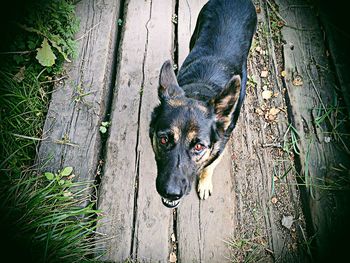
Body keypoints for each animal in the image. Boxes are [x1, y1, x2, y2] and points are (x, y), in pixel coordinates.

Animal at [149, 0, 256, 210]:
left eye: (199, 147)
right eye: (163, 140)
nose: (170, 193)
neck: (198, 92)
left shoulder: (220, 147)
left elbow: (209, 166)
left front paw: (205, 182)